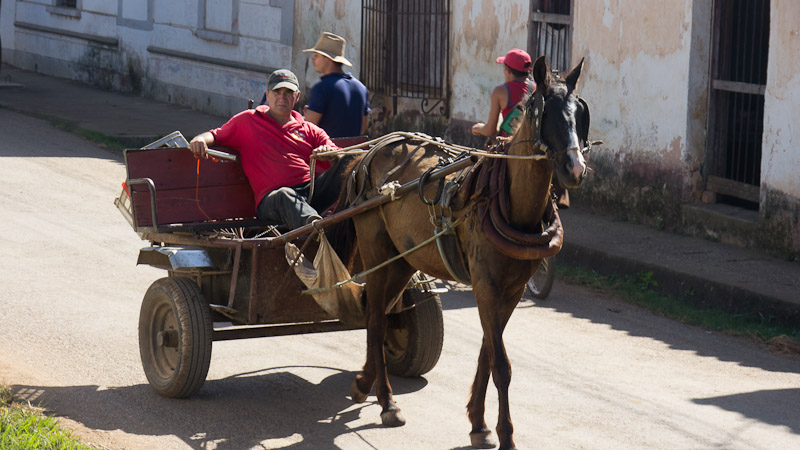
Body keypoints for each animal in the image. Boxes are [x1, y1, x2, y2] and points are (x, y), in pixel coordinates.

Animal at [330, 57, 588, 450]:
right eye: (549, 115)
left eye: (579, 113)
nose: (575, 169)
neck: (509, 202)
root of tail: (372, 150)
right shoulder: (486, 286)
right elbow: (502, 365)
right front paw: (506, 435)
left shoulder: (510, 292)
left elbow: (487, 355)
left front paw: (478, 423)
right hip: (376, 252)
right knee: (374, 319)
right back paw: (386, 400)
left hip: (403, 259)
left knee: (382, 314)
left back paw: (366, 382)